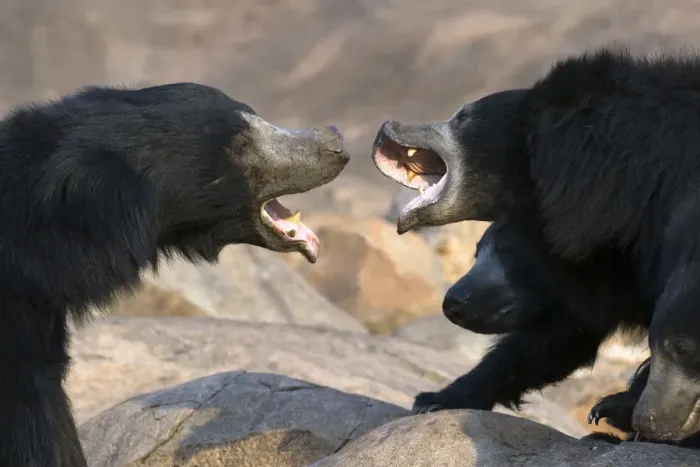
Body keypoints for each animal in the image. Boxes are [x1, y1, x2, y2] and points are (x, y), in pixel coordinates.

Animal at [370, 45, 700, 442]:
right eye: (477, 253)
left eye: (462, 117)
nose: (388, 127)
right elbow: (560, 332)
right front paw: (435, 399)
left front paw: (617, 410)